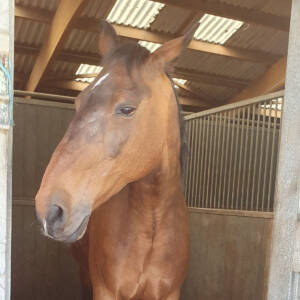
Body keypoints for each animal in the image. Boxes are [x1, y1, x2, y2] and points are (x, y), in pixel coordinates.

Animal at [35, 21, 197, 300]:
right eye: (78, 102)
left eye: (127, 109)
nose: (49, 209)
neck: (151, 221)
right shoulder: (105, 290)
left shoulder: (169, 293)